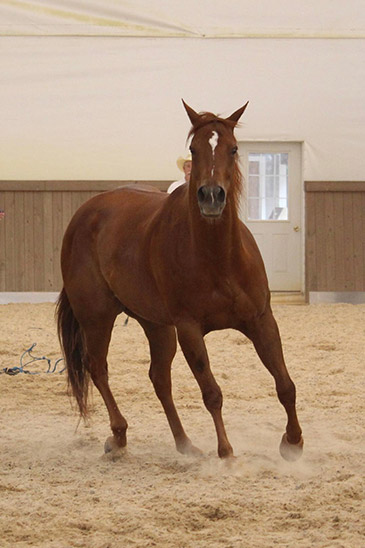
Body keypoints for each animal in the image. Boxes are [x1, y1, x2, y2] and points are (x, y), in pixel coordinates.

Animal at [56, 101, 302, 458]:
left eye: (233, 148)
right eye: (193, 149)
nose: (211, 196)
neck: (218, 260)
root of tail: (85, 213)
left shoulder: (261, 320)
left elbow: (285, 384)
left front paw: (293, 442)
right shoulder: (189, 329)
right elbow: (211, 392)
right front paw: (226, 453)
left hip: (155, 325)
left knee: (159, 377)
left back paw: (185, 443)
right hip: (97, 317)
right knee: (98, 368)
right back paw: (119, 435)